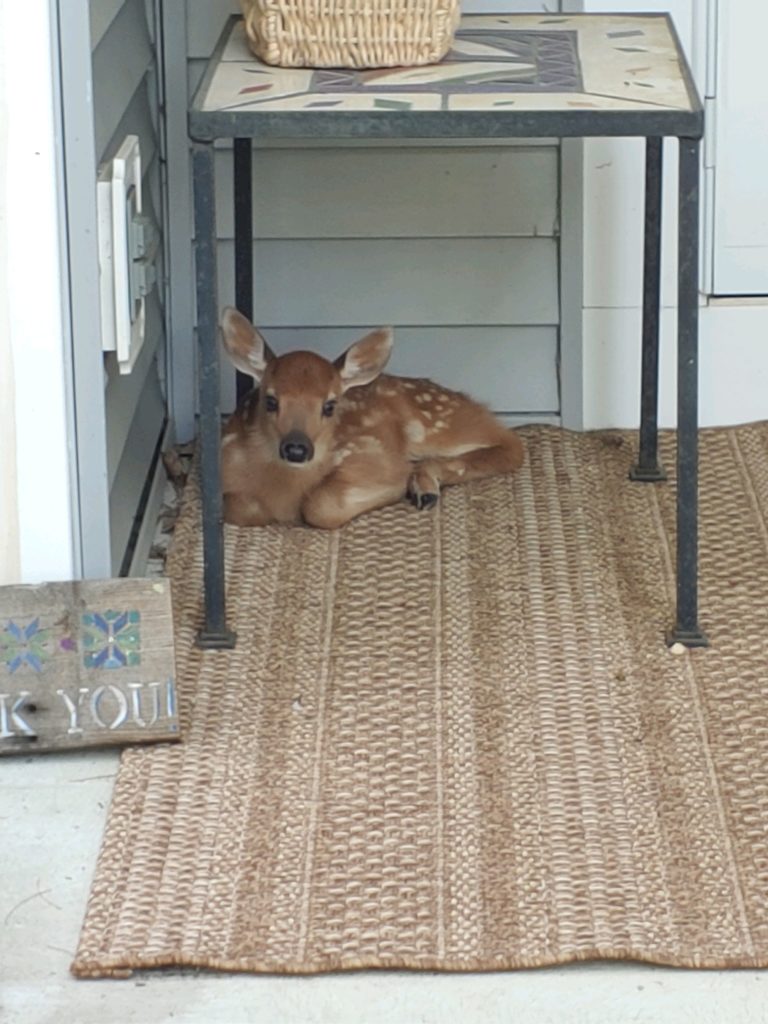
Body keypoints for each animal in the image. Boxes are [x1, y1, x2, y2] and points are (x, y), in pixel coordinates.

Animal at [219, 307, 524, 529]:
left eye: (329, 405)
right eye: (270, 400)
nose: (296, 448)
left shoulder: (370, 454)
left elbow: (320, 506)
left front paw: (396, 487)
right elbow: (240, 506)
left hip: (435, 426)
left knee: (509, 443)